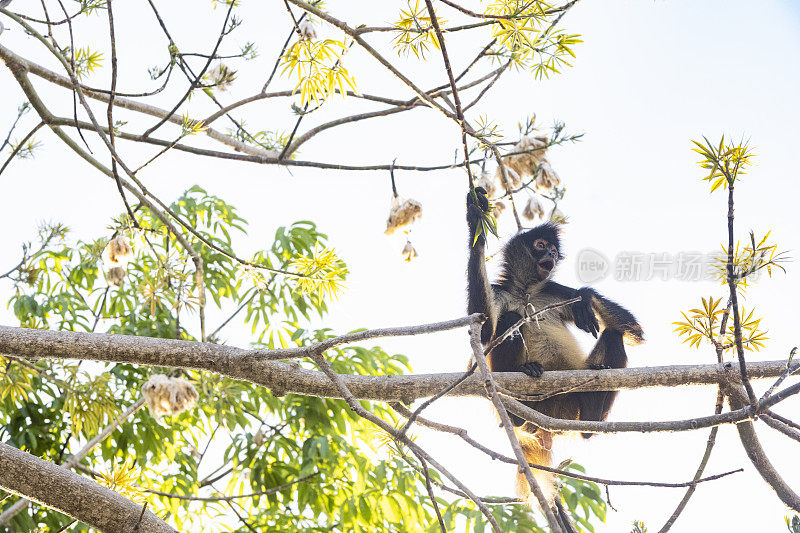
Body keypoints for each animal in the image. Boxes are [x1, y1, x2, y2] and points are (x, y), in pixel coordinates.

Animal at [466, 188, 640, 516]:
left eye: (555, 253)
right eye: (540, 245)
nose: (550, 256)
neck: (525, 292)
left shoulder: (553, 290)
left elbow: (633, 328)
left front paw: (585, 298)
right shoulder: (500, 292)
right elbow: (483, 331)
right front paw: (476, 222)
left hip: (573, 404)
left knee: (615, 332)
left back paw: (591, 419)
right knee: (508, 320)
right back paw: (520, 394)